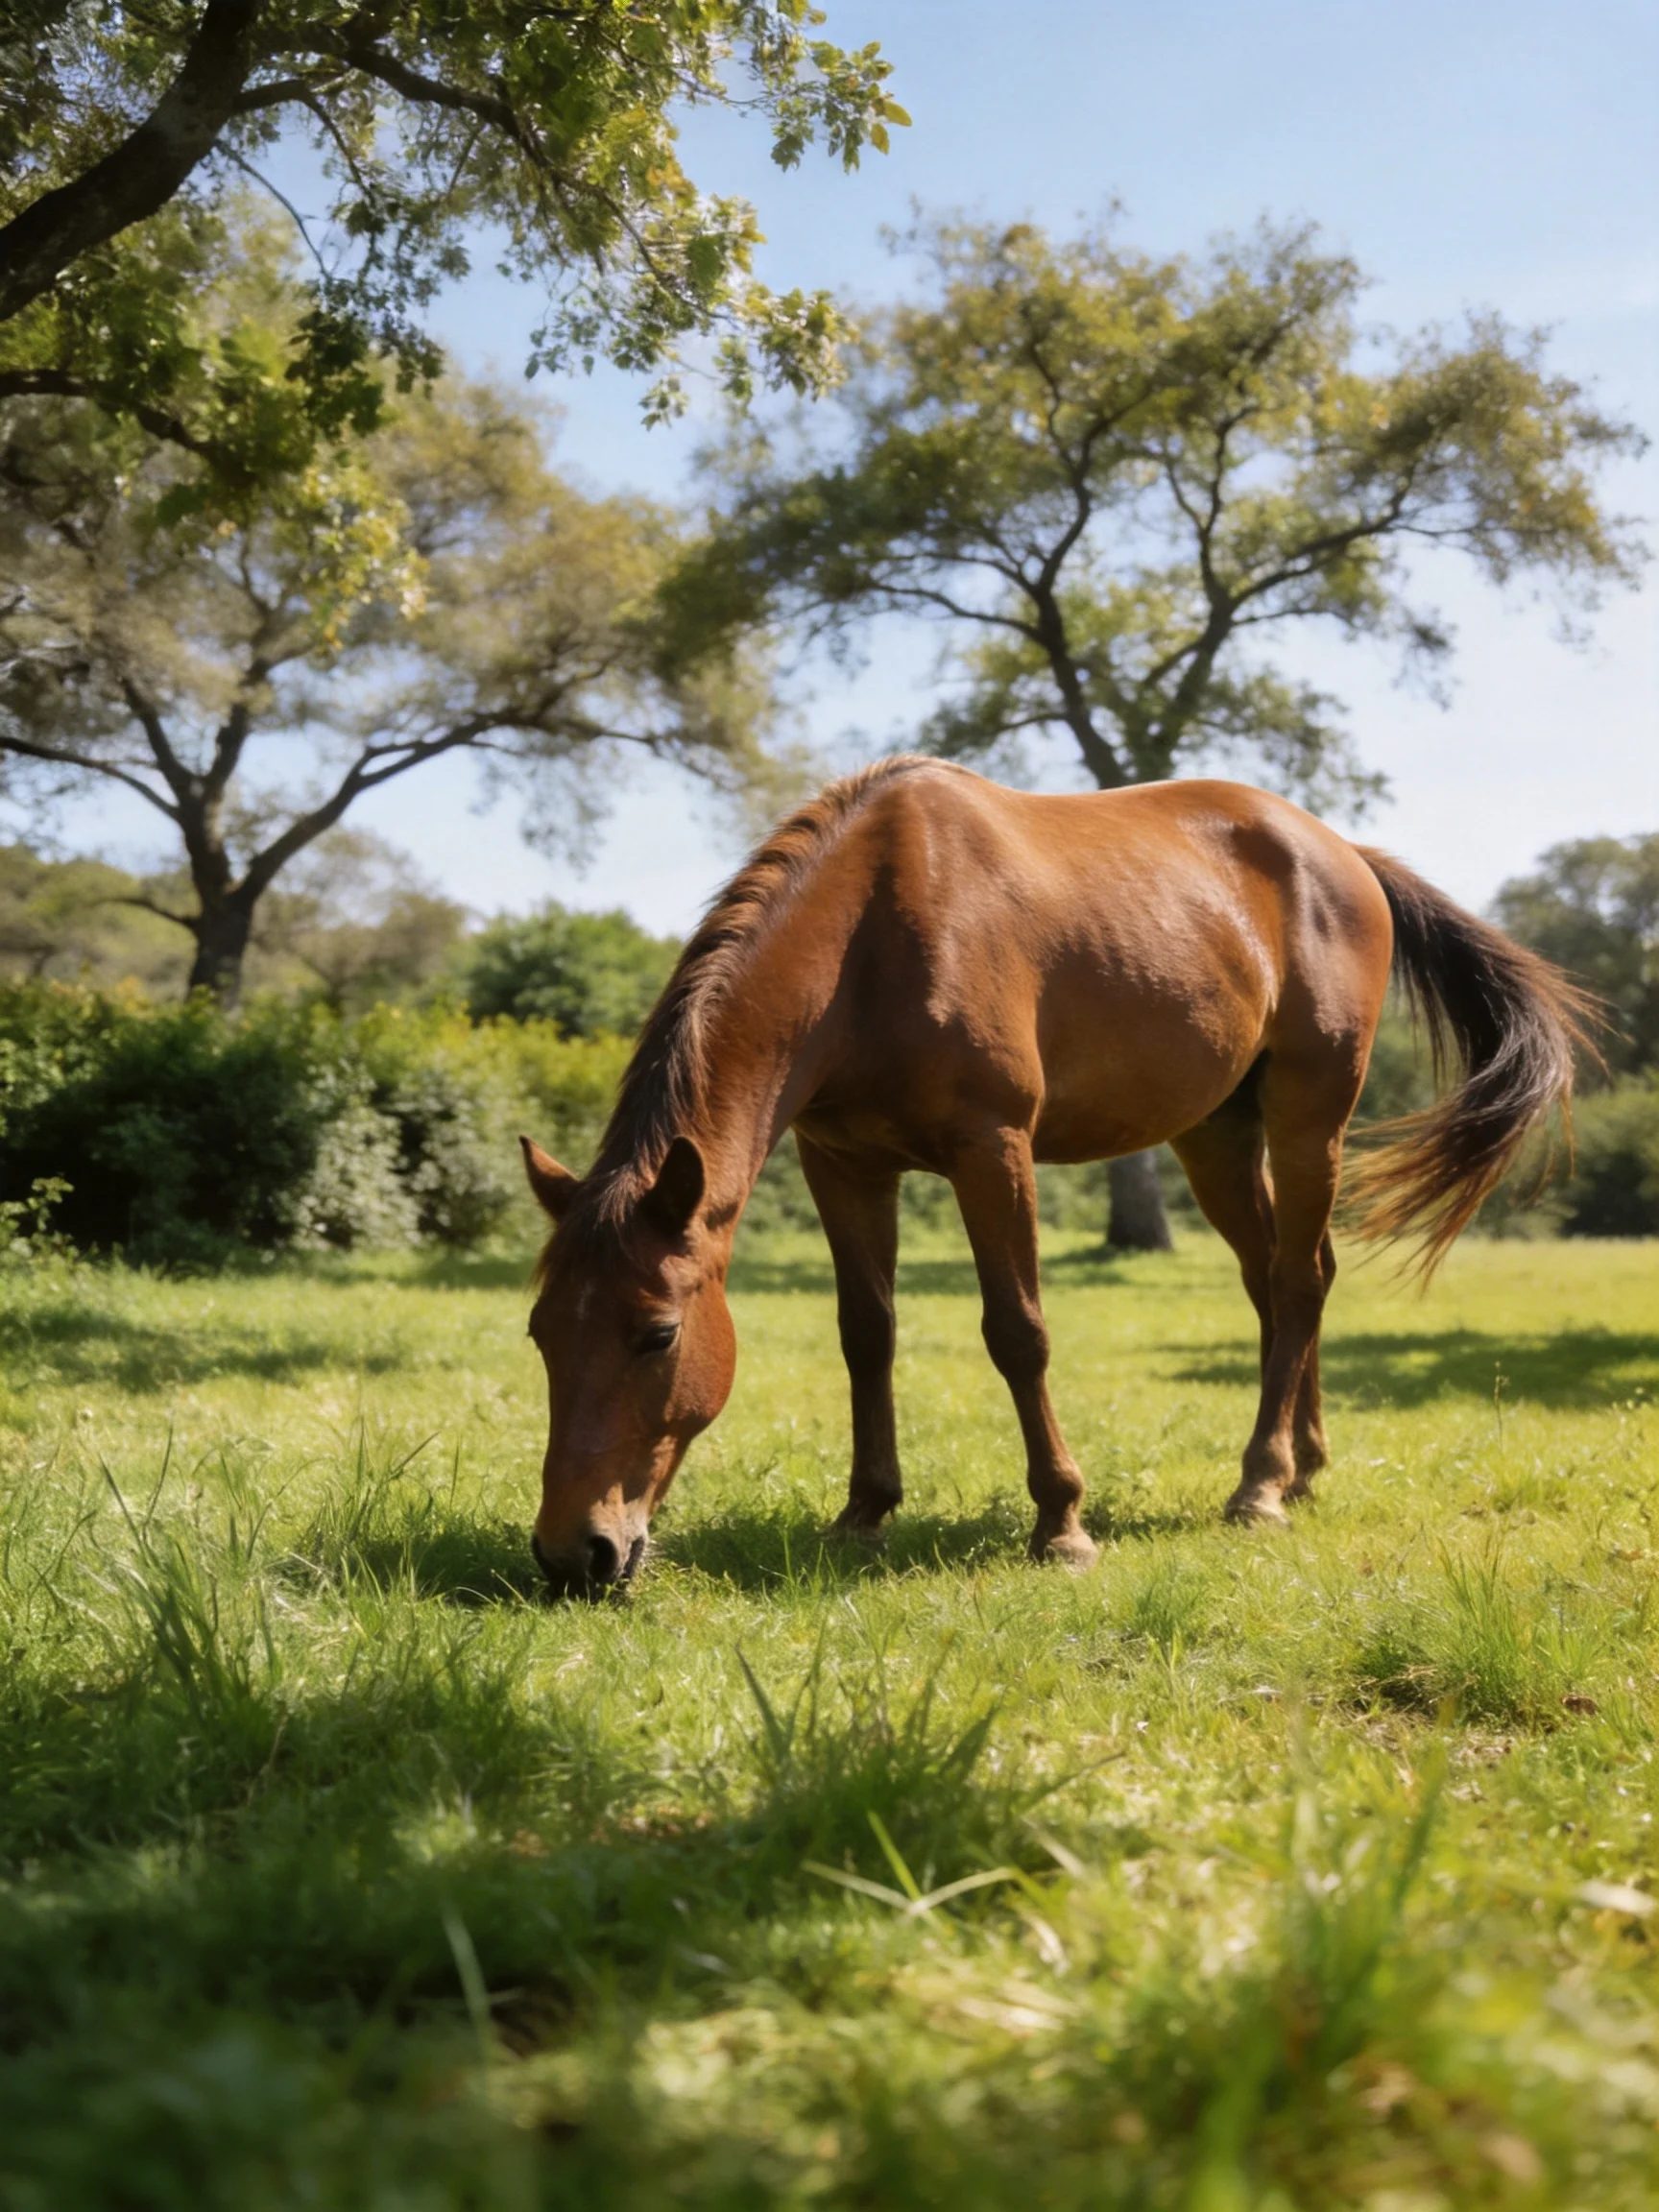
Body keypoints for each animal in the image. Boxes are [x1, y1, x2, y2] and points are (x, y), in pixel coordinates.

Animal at [520, 758, 1589, 1594]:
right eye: (539, 1334)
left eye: (658, 1334)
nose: (576, 1554)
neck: (874, 934)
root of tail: (1343, 855)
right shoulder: (845, 1165)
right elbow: (868, 1334)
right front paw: (865, 1512)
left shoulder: (992, 1149)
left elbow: (1018, 1331)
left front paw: (1062, 1524)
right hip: (1216, 1136)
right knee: (1287, 1279)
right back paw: (1303, 1464)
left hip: (1308, 1118)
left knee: (1295, 1283)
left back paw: (1259, 1484)